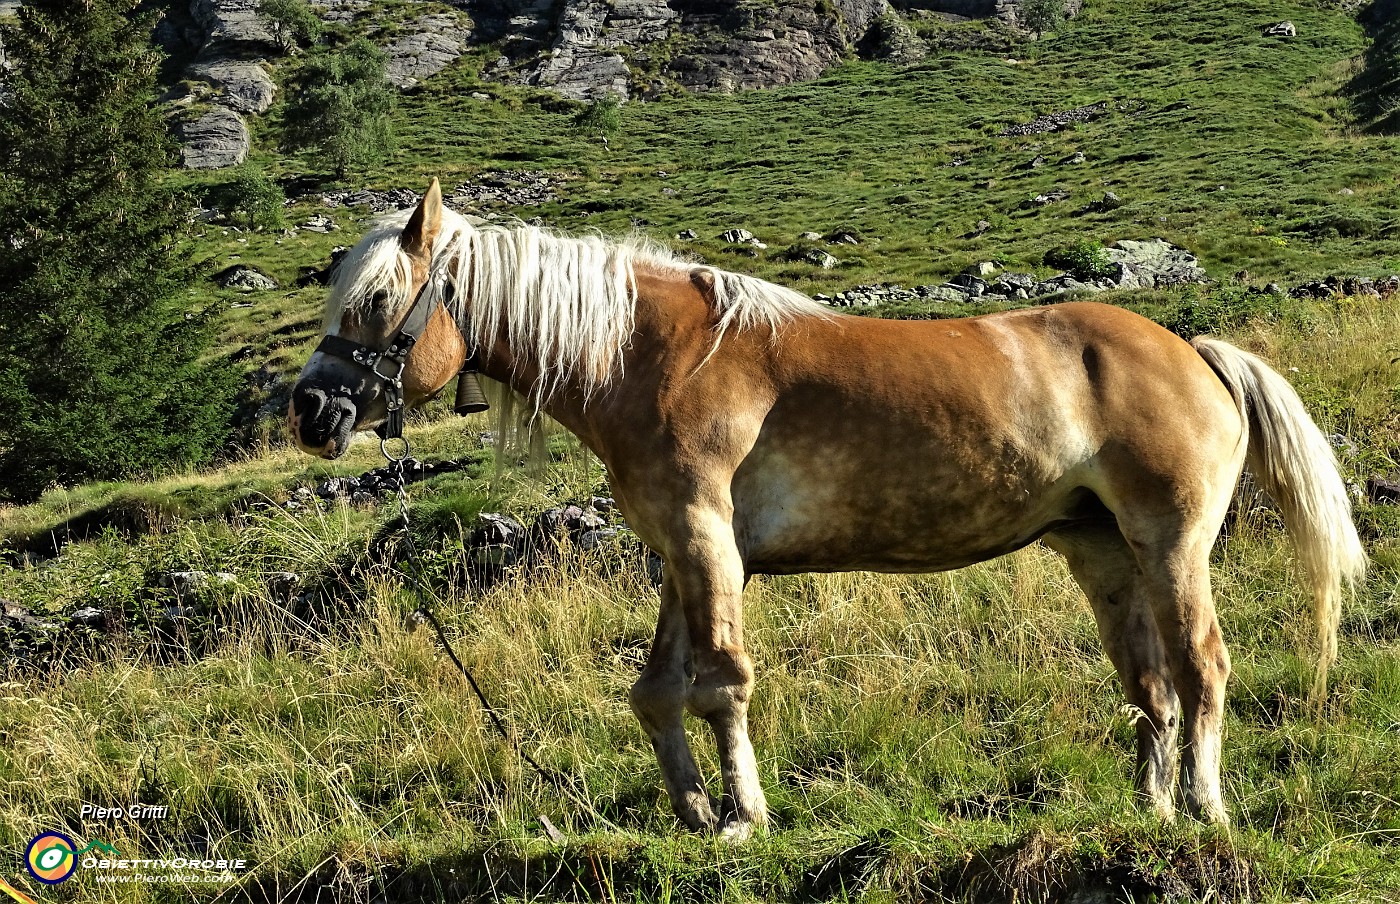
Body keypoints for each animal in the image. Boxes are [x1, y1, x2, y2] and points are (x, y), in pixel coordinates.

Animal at [287, 181, 1366, 845]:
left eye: (377, 300)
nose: (312, 412)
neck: (649, 355)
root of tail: (1194, 350)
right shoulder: (683, 552)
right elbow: (656, 692)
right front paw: (694, 812)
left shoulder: (704, 539)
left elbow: (721, 684)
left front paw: (744, 817)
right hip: (1101, 555)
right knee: (1149, 689)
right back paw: (1148, 811)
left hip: (1171, 543)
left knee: (1201, 670)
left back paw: (1204, 807)